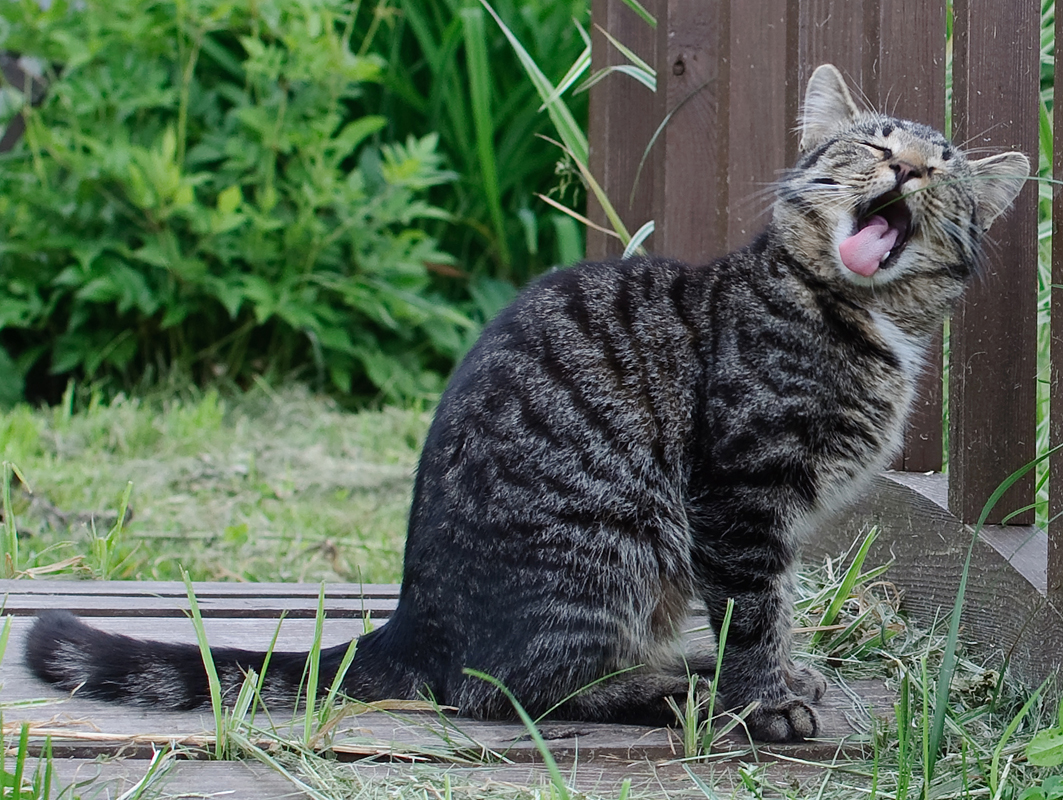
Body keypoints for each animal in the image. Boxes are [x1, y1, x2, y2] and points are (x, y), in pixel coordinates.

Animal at [20, 64, 1024, 743]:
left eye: (942, 166)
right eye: (874, 143)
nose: (907, 168)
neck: (853, 314)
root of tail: (410, 621)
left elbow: (768, 609)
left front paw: (774, 680)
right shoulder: (737, 498)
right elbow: (753, 611)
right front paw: (762, 702)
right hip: (615, 544)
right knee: (509, 688)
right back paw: (670, 690)